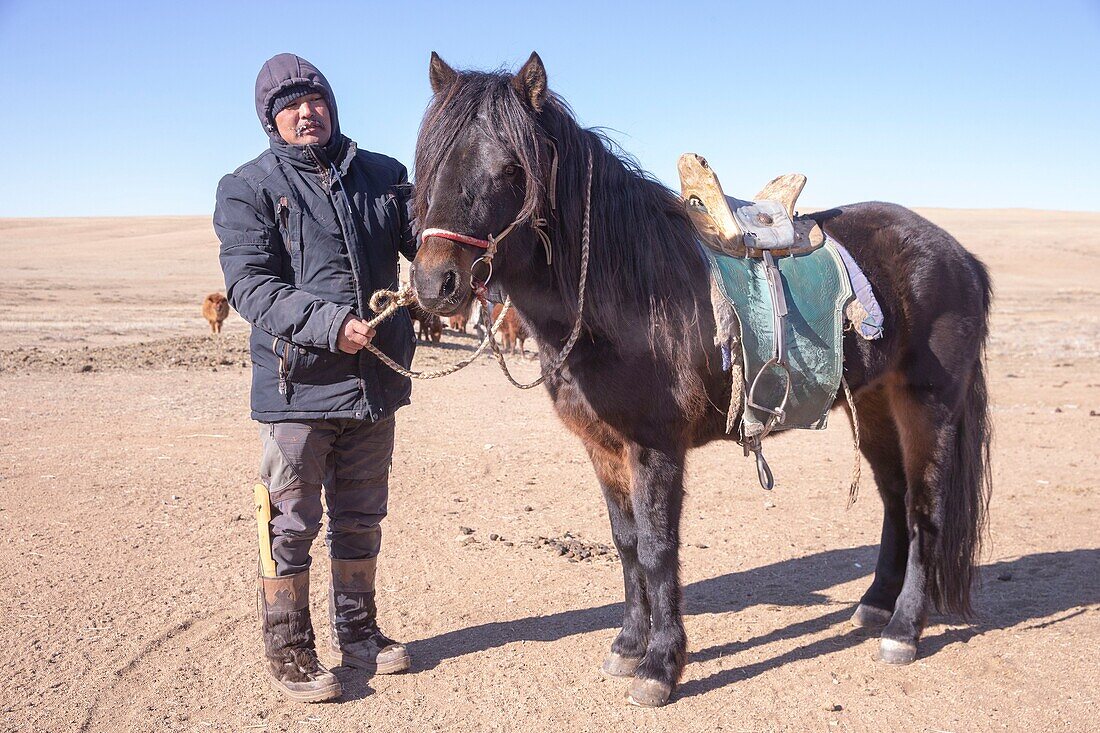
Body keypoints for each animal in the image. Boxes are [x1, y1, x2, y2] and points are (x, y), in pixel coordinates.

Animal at [409, 51, 994, 704]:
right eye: (432, 161)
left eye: (513, 168)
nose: (435, 283)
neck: (627, 292)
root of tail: (960, 256)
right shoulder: (603, 447)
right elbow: (627, 543)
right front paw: (627, 646)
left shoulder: (655, 447)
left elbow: (659, 547)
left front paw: (661, 665)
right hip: (872, 403)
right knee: (894, 498)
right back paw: (872, 607)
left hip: (927, 406)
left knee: (924, 508)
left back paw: (903, 631)